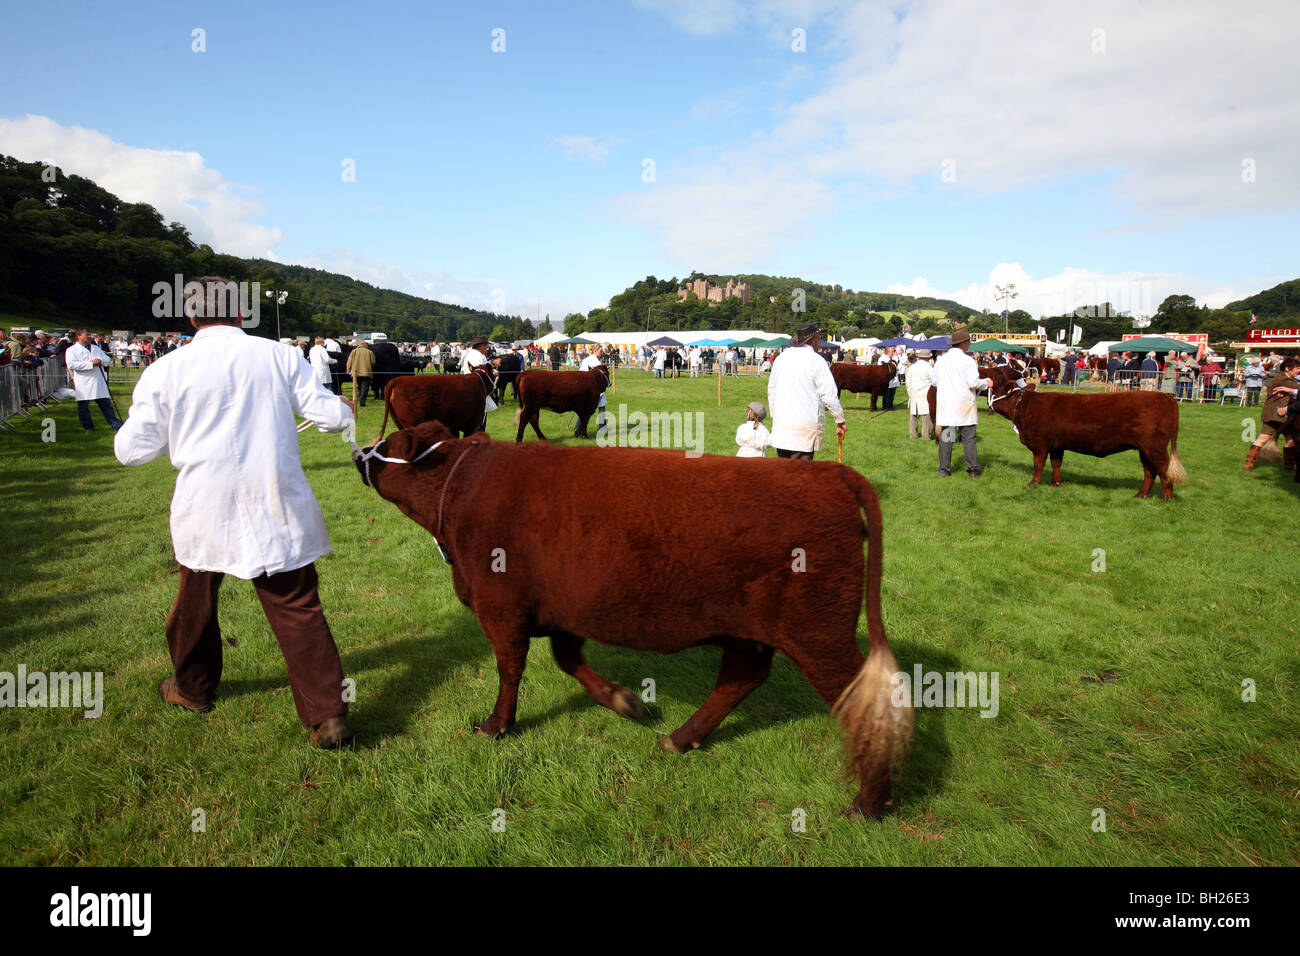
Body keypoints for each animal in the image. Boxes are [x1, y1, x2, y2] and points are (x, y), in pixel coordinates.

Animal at [352, 420, 913, 819]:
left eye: (393, 439)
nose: (359, 452)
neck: (462, 491)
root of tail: (830, 474)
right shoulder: (562, 609)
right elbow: (568, 660)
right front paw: (624, 700)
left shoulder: (500, 606)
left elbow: (510, 668)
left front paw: (496, 726)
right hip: (751, 631)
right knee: (741, 678)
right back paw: (680, 739)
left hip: (818, 633)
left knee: (867, 697)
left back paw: (869, 803)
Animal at [986, 381, 1187, 499]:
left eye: (995, 389)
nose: (989, 399)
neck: (1025, 407)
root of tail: (1165, 396)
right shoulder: (1057, 445)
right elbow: (1056, 463)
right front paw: (1055, 483)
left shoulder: (1040, 443)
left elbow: (1039, 464)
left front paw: (1034, 483)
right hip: (1143, 449)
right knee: (1149, 471)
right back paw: (1140, 495)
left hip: (1154, 447)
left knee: (1164, 469)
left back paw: (1166, 498)